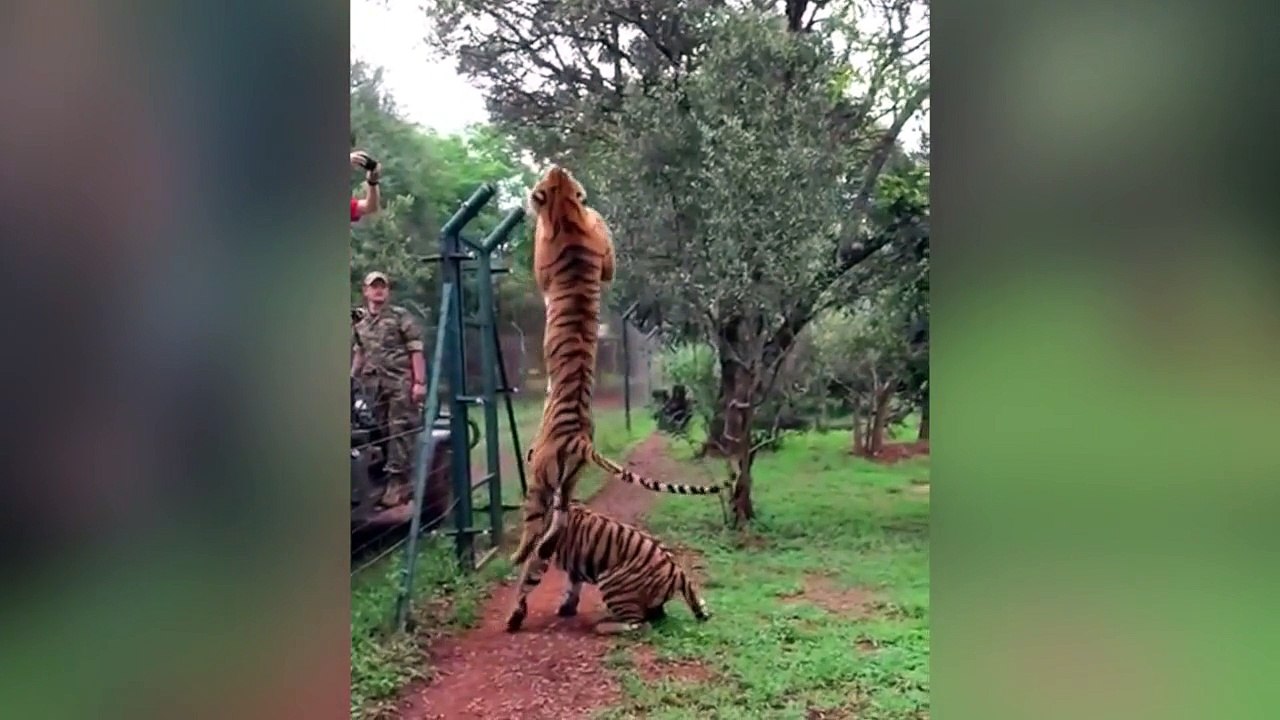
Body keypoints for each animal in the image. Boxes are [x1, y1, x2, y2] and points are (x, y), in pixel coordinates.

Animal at [506, 500, 710, 634]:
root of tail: (679, 572)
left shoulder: (539, 554)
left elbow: (523, 585)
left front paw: (515, 618)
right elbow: (573, 586)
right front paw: (567, 609)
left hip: (612, 582)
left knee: (639, 625)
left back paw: (602, 625)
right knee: (655, 617)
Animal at [513, 165, 727, 569]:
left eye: (549, 177)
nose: (556, 167)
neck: (566, 213)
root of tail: (580, 440)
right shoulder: (604, 260)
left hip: (538, 476)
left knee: (534, 522)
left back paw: (519, 554)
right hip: (568, 480)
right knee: (559, 519)